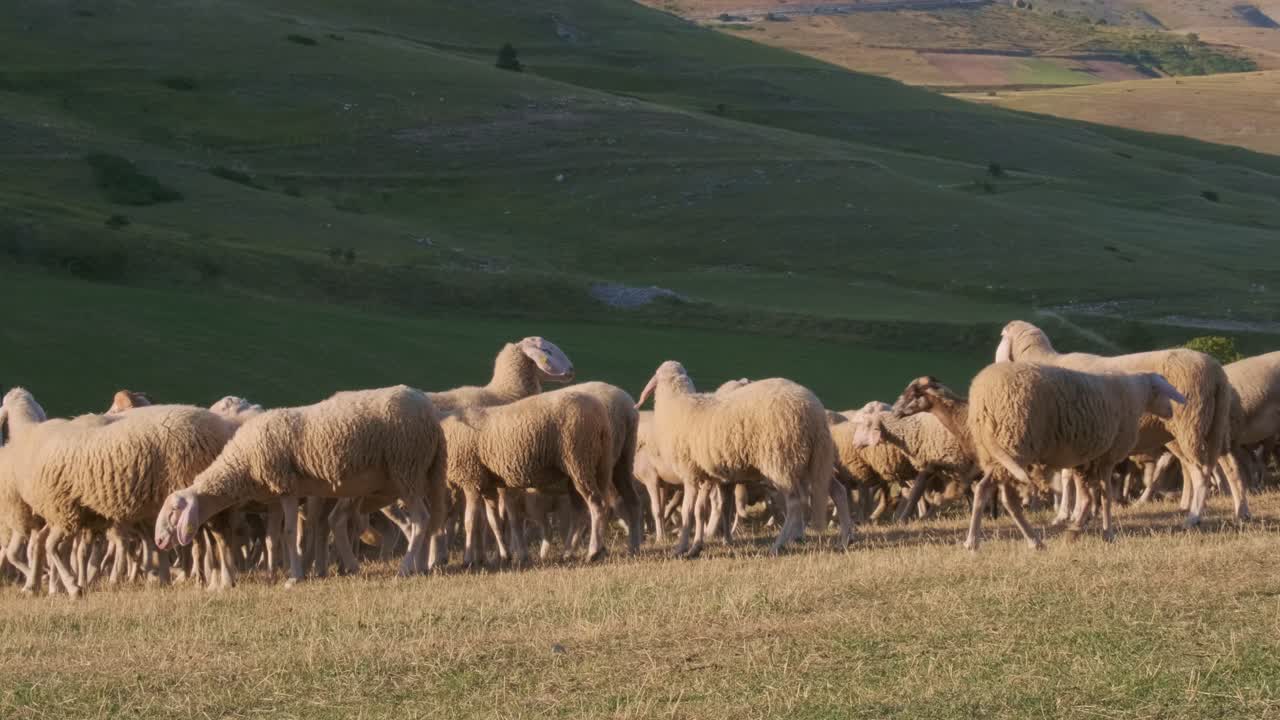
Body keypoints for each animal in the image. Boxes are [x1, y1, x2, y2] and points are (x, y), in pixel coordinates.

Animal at [154, 385, 447, 584]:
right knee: (425, 520)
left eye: (173, 511)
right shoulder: (288, 492)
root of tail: (430, 412)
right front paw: (295, 573)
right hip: (416, 475)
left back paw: (405, 568)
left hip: (406, 466)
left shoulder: (286, 486)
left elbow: (289, 533)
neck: (243, 461)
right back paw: (420, 566)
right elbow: (286, 534)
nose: (158, 540)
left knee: (421, 519)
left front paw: (293, 578)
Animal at [439, 389, 613, 566]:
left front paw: (468, 560)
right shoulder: (488, 484)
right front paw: (505, 555)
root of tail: (599, 413)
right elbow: (495, 522)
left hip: (579, 460)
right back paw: (569, 553)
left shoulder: (471, 480)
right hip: (597, 465)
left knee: (597, 505)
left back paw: (592, 552)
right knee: (582, 511)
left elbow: (470, 522)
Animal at [635, 361, 840, 557]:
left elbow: (688, 511)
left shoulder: (690, 474)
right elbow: (706, 510)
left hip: (780, 460)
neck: (676, 405)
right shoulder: (709, 477)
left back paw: (777, 545)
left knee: (794, 503)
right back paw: (808, 536)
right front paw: (701, 546)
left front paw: (681, 548)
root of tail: (816, 412)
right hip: (806, 463)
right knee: (815, 497)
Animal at [894, 365, 1186, 551]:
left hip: (1006, 454)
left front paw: (1080, 528)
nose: (895, 411)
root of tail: (982, 400)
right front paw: (1104, 532)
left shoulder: (1088, 459)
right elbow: (1101, 496)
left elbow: (1092, 495)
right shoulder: (1104, 457)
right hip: (1011, 448)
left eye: (914, 393)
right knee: (992, 493)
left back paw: (1029, 540)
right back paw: (979, 541)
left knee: (999, 496)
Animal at [996, 320, 1244, 525]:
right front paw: (1076, 514)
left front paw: (1070, 515)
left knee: (1201, 470)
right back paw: (1240, 511)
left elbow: (1070, 479)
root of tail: (1216, 371)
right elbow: (1070, 478)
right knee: (1226, 465)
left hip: (1190, 423)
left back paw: (1194, 517)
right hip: (1211, 424)